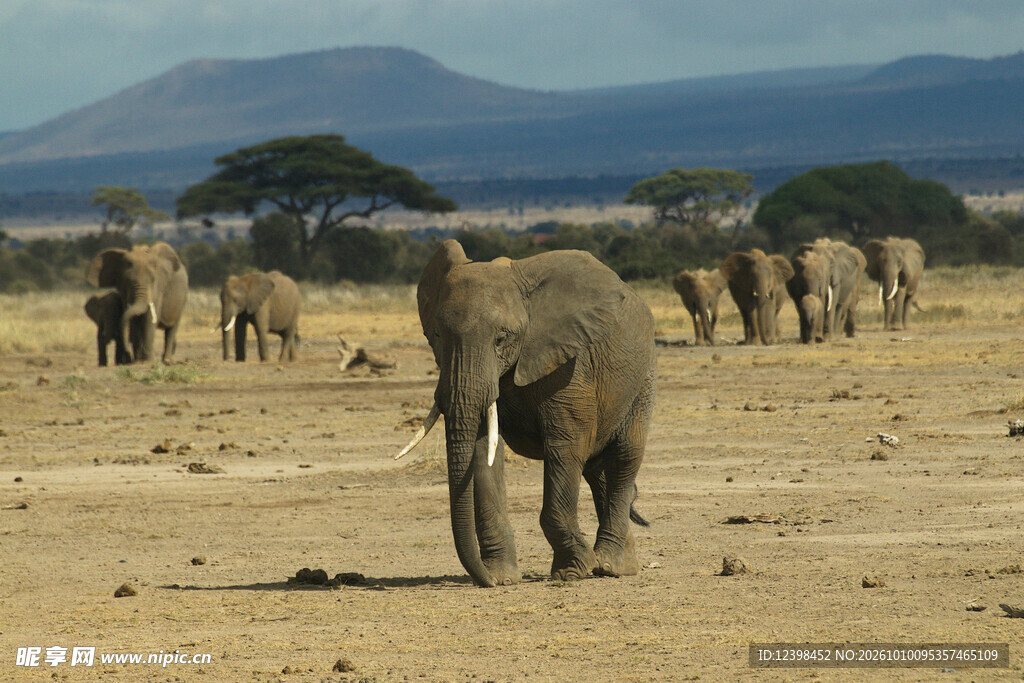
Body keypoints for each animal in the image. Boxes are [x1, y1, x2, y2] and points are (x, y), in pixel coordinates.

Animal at [395, 240, 656, 587]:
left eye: (501, 339)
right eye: (436, 336)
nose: (486, 581)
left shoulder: (570, 367)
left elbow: (566, 446)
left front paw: (572, 572)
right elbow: (482, 451)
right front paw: (501, 576)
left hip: (643, 376)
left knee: (625, 455)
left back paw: (610, 566)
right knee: (596, 469)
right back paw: (619, 564)